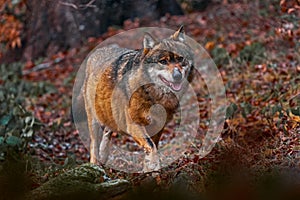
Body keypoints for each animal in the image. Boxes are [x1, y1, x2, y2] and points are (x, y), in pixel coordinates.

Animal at [84, 25, 195, 171]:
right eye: (163, 61)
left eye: (180, 59)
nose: (177, 76)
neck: (154, 96)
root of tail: (96, 51)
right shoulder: (134, 124)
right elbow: (151, 146)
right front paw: (154, 166)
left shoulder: (158, 125)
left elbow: (152, 147)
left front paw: (148, 170)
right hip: (94, 120)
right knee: (93, 144)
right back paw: (95, 164)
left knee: (108, 131)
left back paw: (103, 156)